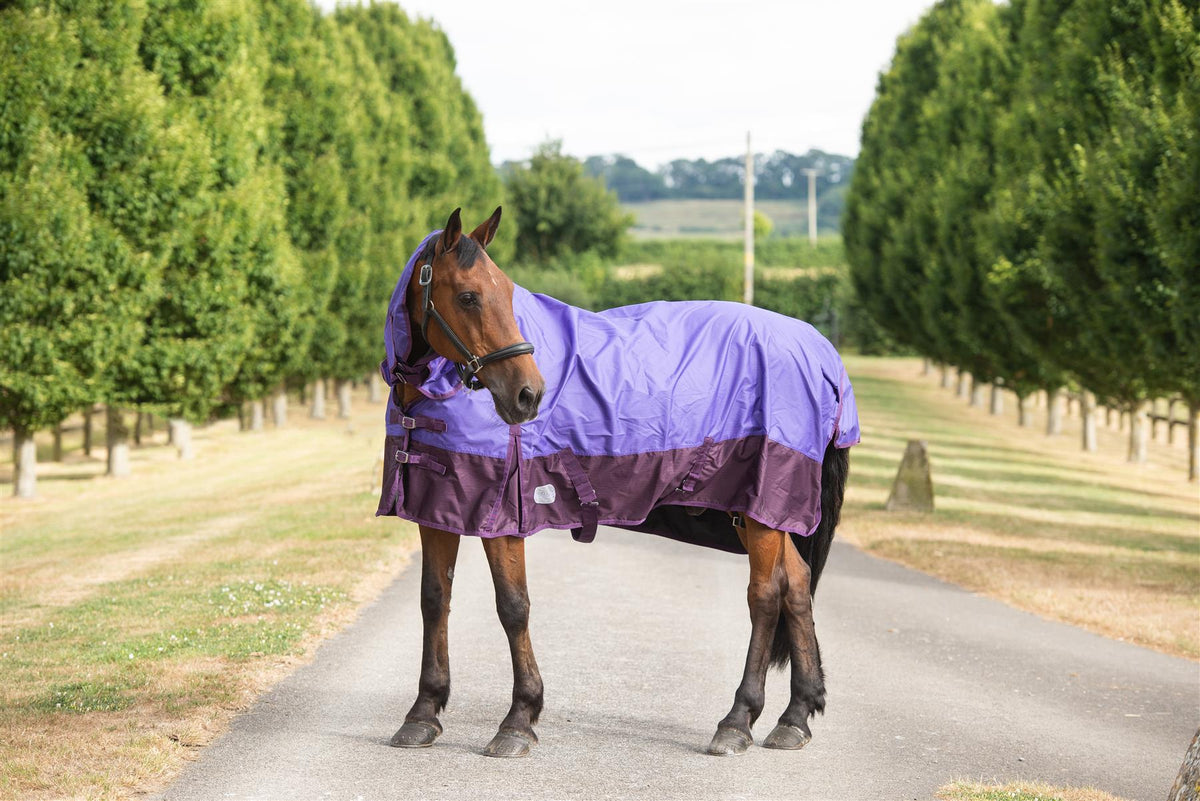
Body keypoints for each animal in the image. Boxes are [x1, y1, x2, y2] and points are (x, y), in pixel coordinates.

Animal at [377, 207, 857, 758]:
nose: (528, 394)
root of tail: (820, 351)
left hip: (762, 509)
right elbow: (434, 601)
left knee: (766, 596)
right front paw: (423, 712)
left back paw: (737, 720)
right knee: (797, 586)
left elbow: (513, 607)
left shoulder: (503, 516)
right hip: (756, 512)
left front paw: (518, 719)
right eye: (469, 296)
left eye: (507, 292)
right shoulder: (436, 508)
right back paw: (795, 717)